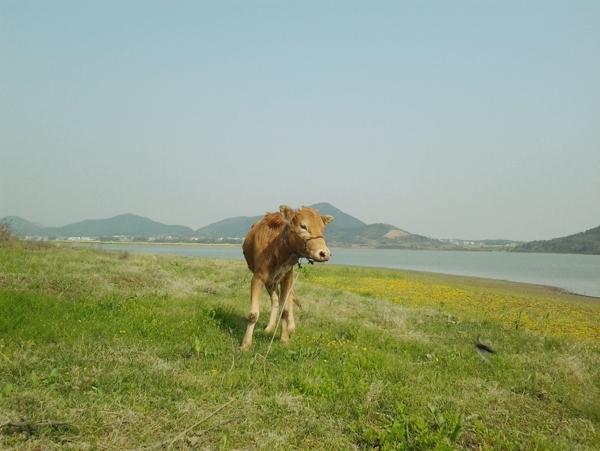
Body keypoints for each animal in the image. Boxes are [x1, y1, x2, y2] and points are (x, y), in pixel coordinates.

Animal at [239, 207, 332, 352]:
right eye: (303, 226)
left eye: (322, 228)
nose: (325, 253)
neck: (277, 250)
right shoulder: (258, 277)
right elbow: (253, 314)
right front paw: (245, 345)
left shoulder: (287, 277)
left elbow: (285, 311)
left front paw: (284, 339)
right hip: (271, 281)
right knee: (275, 300)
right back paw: (270, 327)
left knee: (288, 300)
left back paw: (291, 327)